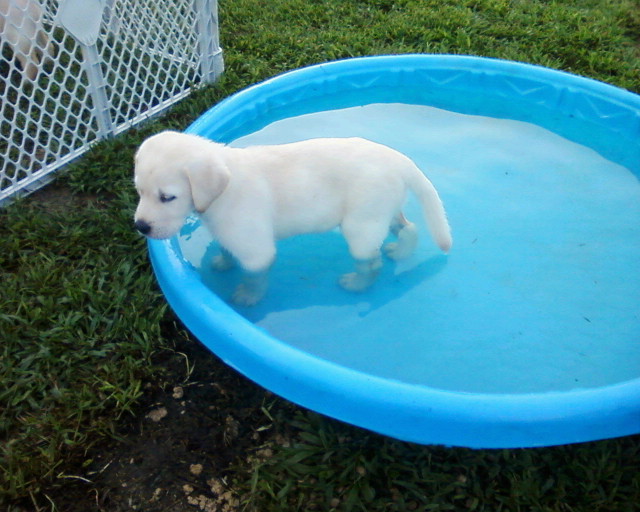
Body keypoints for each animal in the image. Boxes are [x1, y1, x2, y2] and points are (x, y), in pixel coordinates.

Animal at [133, 131, 450, 304]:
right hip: (382, 210)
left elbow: (254, 276)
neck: (224, 189)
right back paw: (401, 251)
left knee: (372, 263)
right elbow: (225, 248)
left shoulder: (255, 249)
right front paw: (223, 263)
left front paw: (248, 296)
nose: (141, 226)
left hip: (360, 225)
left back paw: (356, 284)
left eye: (167, 197)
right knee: (409, 228)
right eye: (139, 191)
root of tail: (401, 160)